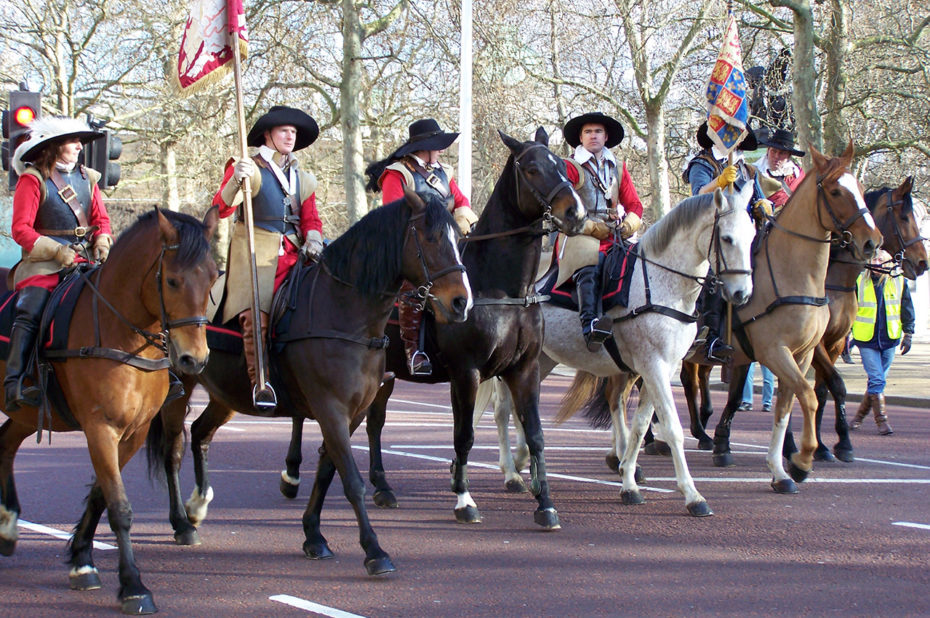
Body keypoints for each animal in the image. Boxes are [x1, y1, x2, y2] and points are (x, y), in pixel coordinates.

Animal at [0, 209, 218, 612]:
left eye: (213, 277)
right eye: (173, 280)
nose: (193, 360)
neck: (123, 335)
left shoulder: (134, 431)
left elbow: (102, 495)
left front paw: (82, 560)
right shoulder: (100, 428)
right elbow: (119, 506)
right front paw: (133, 585)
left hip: (24, 413)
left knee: (5, 445)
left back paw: (7, 528)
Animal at [147, 190, 472, 576]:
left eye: (460, 238)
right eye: (431, 238)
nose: (461, 302)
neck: (345, 312)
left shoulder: (352, 413)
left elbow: (327, 470)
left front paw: (314, 535)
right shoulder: (330, 409)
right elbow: (351, 479)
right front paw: (374, 551)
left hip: (226, 395)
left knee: (199, 433)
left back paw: (197, 505)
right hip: (178, 390)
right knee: (172, 450)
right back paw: (181, 523)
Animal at [280, 127, 584, 528]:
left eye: (563, 166)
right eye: (532, 168)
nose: (575, 212)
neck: (503, 290)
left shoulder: (525, 369)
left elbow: (535, 435)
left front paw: (545, 505)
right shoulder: (466, 372)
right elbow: (464, 436)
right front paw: (464, 499)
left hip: (386, 374)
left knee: (374, 423)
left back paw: (382, 487)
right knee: (304, 413)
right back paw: (291, 474)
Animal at [478, 183, 752, 516]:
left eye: (752, 236)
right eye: (727, 238)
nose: (741, 294)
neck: (662, 284)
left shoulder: (659, 369)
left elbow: (640, 425)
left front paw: (629, 482)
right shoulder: (653, 366)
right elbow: (672, 426)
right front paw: (692, 494)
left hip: (541, 360)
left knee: (521, 408)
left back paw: (522, 461)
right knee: (502, 409)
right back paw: (510, 472)